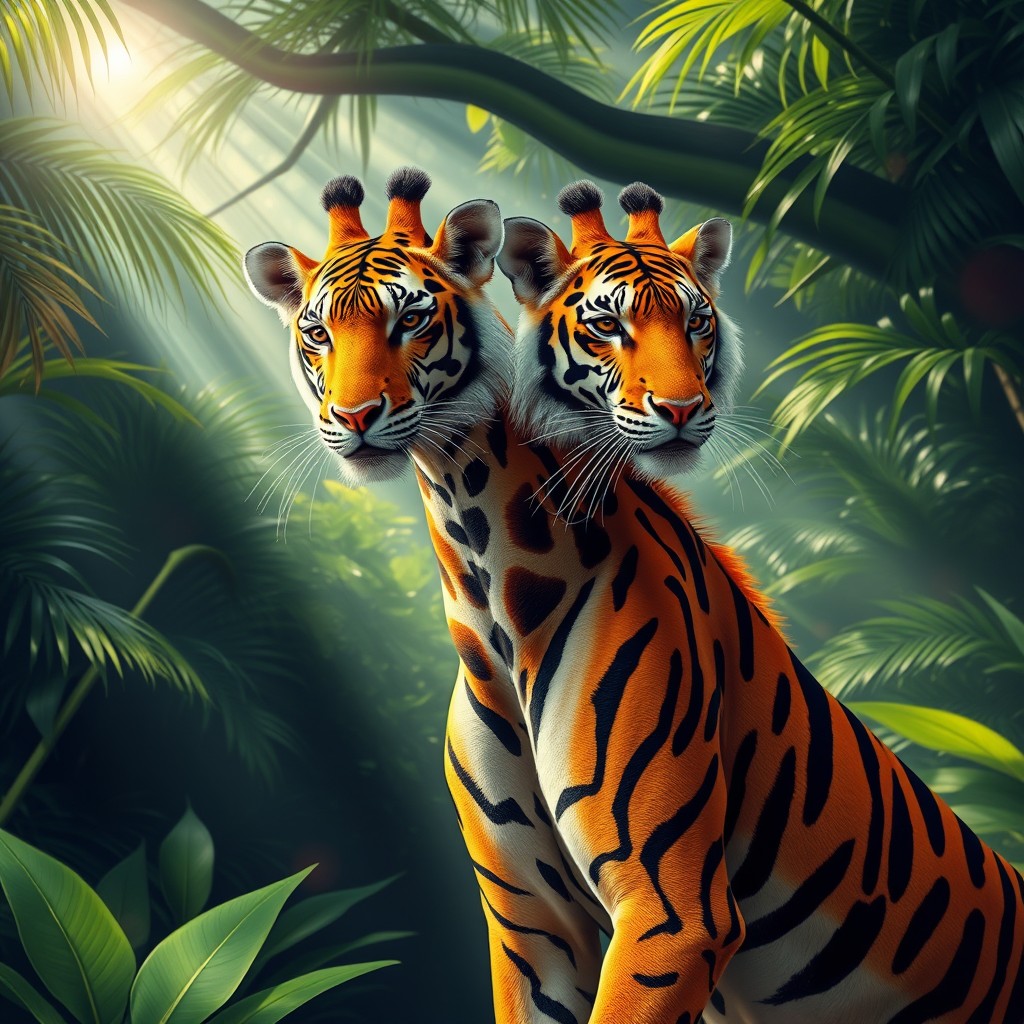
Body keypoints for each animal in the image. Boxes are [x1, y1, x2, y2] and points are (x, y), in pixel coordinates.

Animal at [489, 178, 1024, 1022]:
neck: (509, 597)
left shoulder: (674, 912)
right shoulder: (533, 927)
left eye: (697, 321)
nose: (682, 408)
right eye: (607, 324)